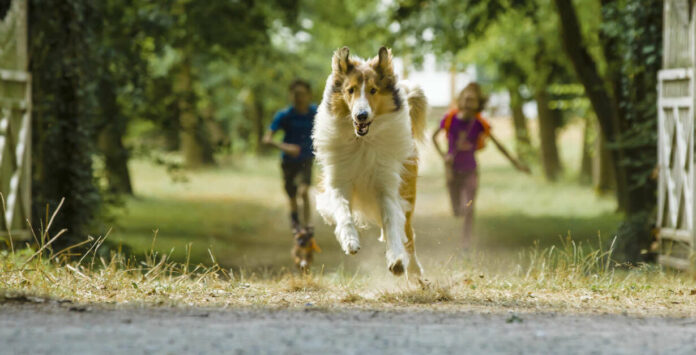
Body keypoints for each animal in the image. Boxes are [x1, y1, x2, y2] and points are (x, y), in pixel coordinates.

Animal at [312, 46, 426, 276]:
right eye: (350, 90)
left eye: (373, 90)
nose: (361, 116)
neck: (362, 141)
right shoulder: (339, 181)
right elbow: (342, 210)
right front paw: (350, 241)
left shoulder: (386, 186)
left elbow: (391, 221)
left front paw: (396, 259)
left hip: (407, 195)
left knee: (408, 235)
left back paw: (414, 272)